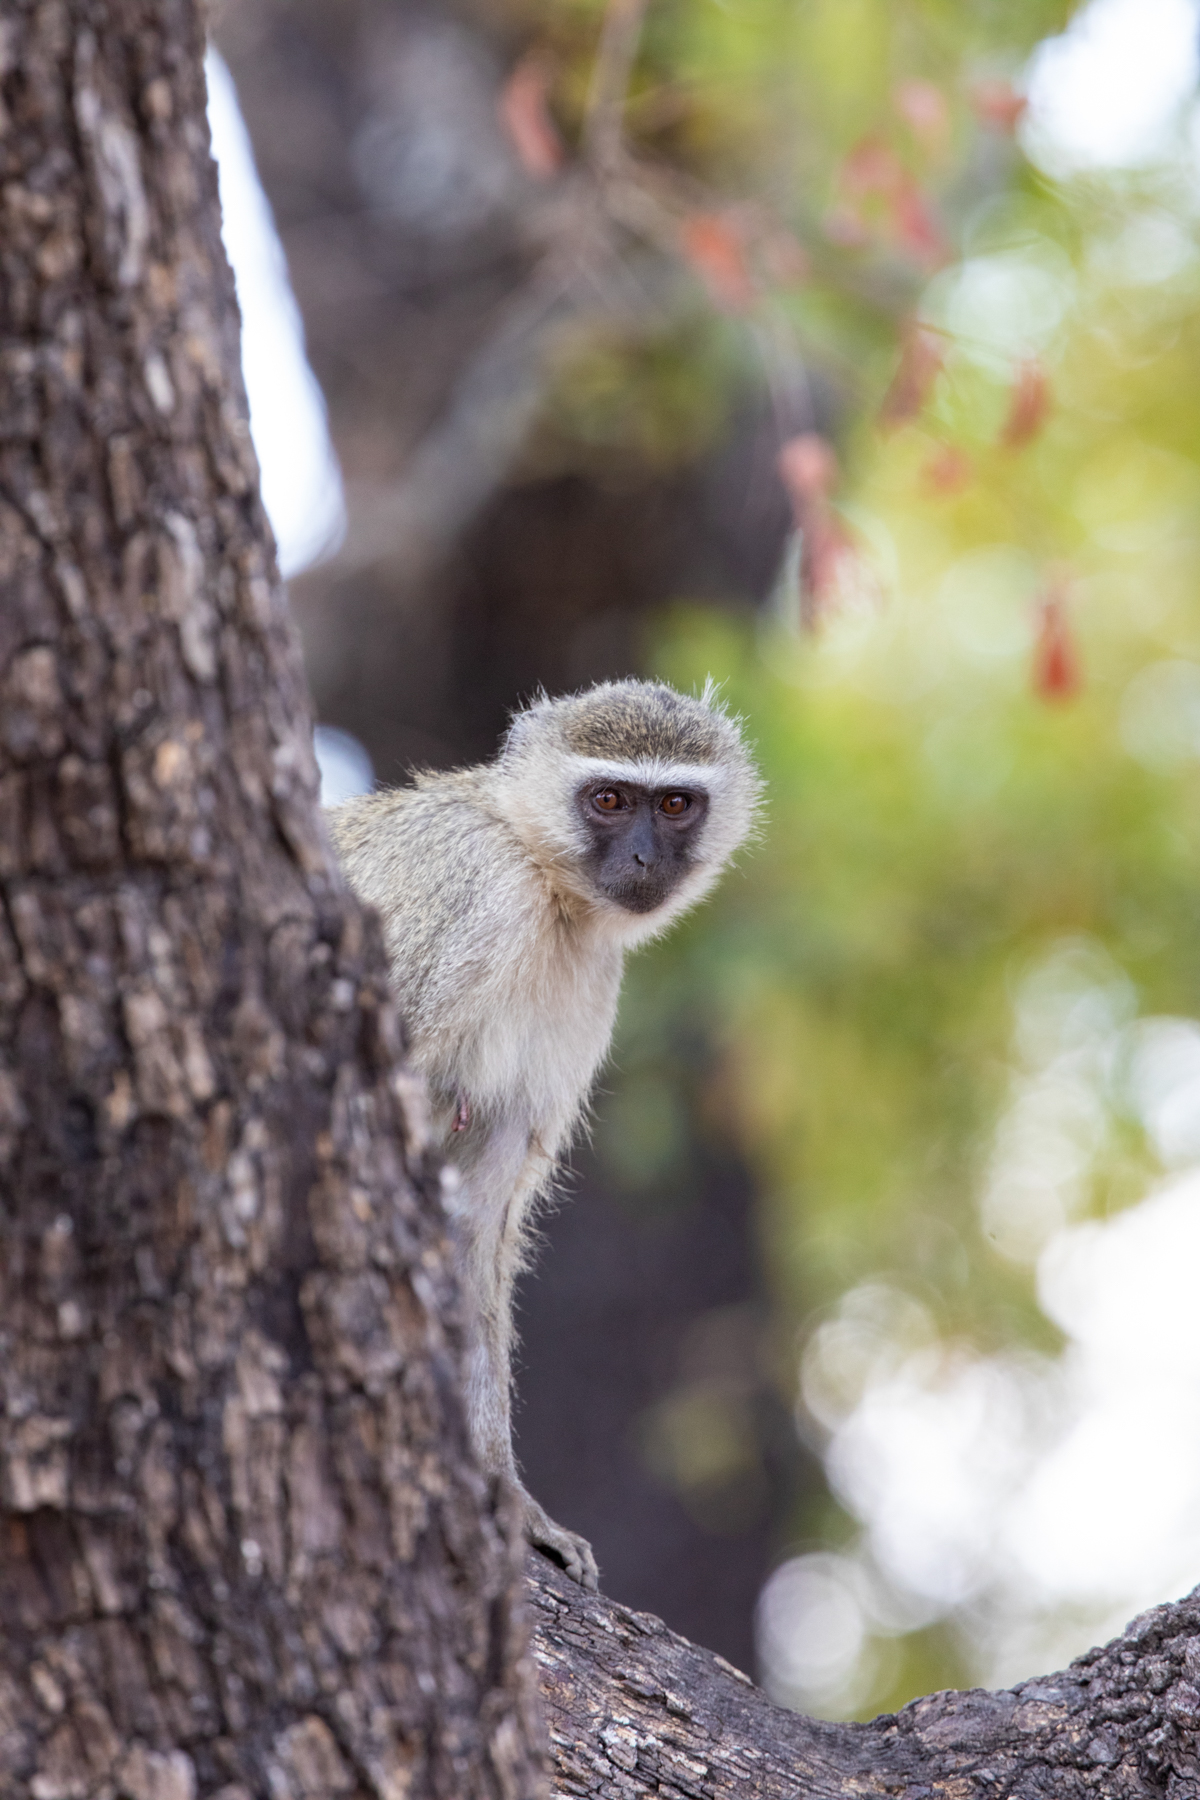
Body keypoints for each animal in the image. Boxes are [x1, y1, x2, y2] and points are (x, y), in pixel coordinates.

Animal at [327, 678, 761, 1588]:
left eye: (674, 804)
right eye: (609, 800)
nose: (644, 861)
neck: (546, 884)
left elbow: (475, 1217)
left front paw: (507, 1496)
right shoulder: (474, 896)